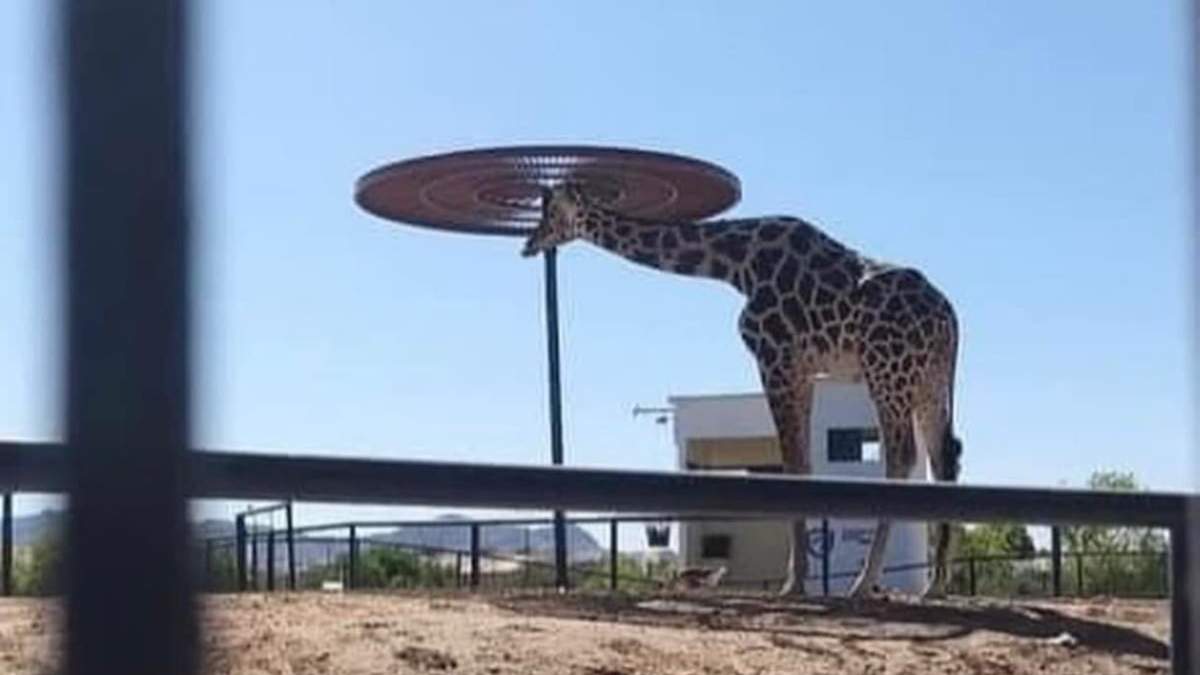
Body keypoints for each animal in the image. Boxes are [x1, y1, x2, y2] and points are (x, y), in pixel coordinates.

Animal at [522, 183, 963, 598]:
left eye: (551, 211)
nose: (529, 244)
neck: (734, 263)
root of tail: (949, 318)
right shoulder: (802, 370)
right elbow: (803, 463)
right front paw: (797, 577)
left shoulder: (774, 357)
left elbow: (792, 464)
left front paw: (794, 583)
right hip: (928, 381)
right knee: (944, 458)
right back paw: (934, 584)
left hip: (887, 372)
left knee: (903, 458)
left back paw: (864, 583)